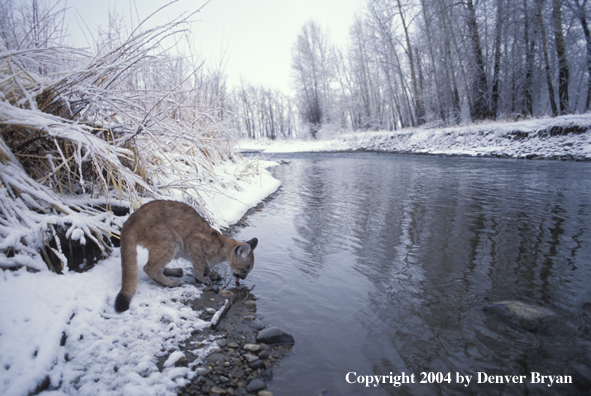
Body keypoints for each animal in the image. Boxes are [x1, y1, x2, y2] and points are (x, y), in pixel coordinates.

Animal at [114, 201, 258, 312]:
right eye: (244, 270)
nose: (244, 278)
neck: (222, 247)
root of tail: (130, 219)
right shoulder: (194, 241)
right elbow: (200, 265)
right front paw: (202, 278)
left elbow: (205, 265)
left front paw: (211, 273)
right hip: (171, 239)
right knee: (149, 267)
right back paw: (172, 282)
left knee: (156, 265)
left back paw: (175, 272)